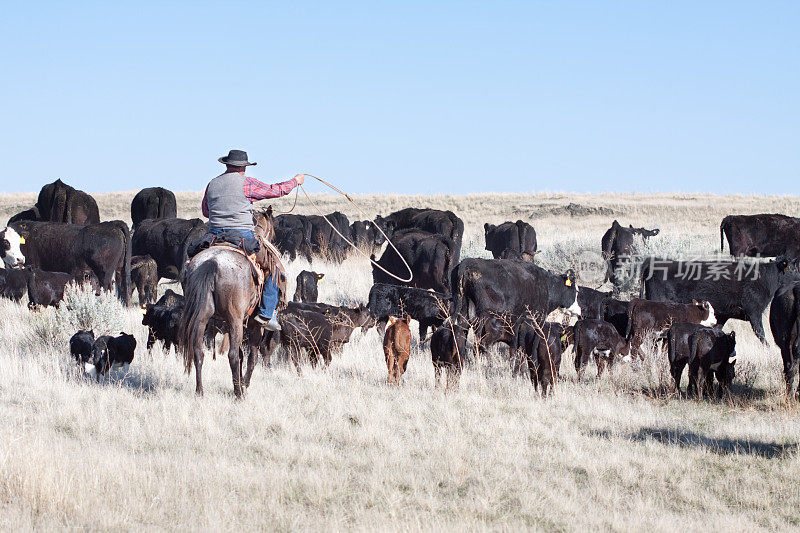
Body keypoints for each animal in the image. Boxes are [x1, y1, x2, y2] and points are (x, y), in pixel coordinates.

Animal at [180, 207, 278, 394]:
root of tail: (211, 263)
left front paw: (239, 381)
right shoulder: (254, 325)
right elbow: (251, 356)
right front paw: (244, 383)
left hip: (202, 316)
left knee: (198, 351)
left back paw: (200, 391)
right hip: (235, 319)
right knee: (232, 355)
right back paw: (239, 394)